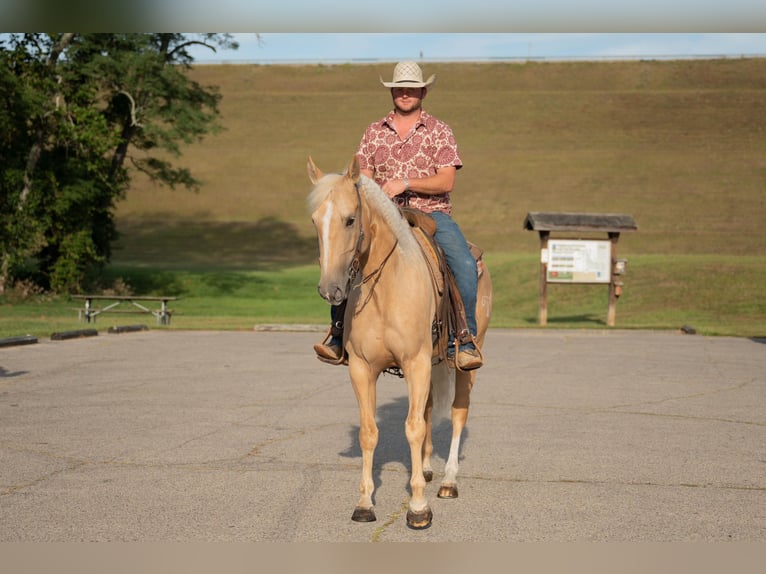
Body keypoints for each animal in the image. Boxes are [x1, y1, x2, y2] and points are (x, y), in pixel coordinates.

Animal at [308, 156, 496, 532]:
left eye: (350, 219)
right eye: (314, 220)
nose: (330, 289)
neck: (385, 288)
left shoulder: (416, 362)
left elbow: (413, 428)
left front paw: (419, 507)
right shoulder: (363, 369)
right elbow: (370, 432)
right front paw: (365, 503)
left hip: (464, 363)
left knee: (458, 412)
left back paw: (448, 481)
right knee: (428, 409)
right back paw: (425, 467)